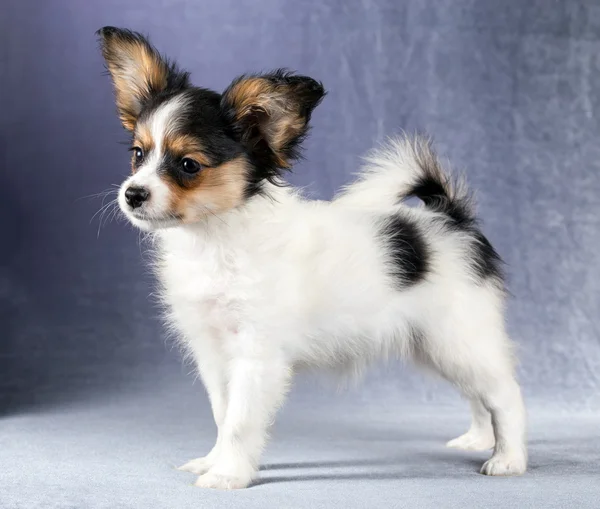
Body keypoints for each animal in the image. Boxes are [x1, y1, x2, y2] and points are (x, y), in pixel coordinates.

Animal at [97, 26, 524, 488]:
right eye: (138, 154)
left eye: (189, 165)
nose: (132, 194)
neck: (214, 238)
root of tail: (450, 217)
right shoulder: (212, 352)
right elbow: (222, 414)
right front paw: (213, 461)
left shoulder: (257, 354)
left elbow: (240, 422)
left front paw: (228, 474)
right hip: (437, 345)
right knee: (480, 395)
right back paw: (478, 439)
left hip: (459, 337)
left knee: (505, 394)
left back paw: (508, 459)